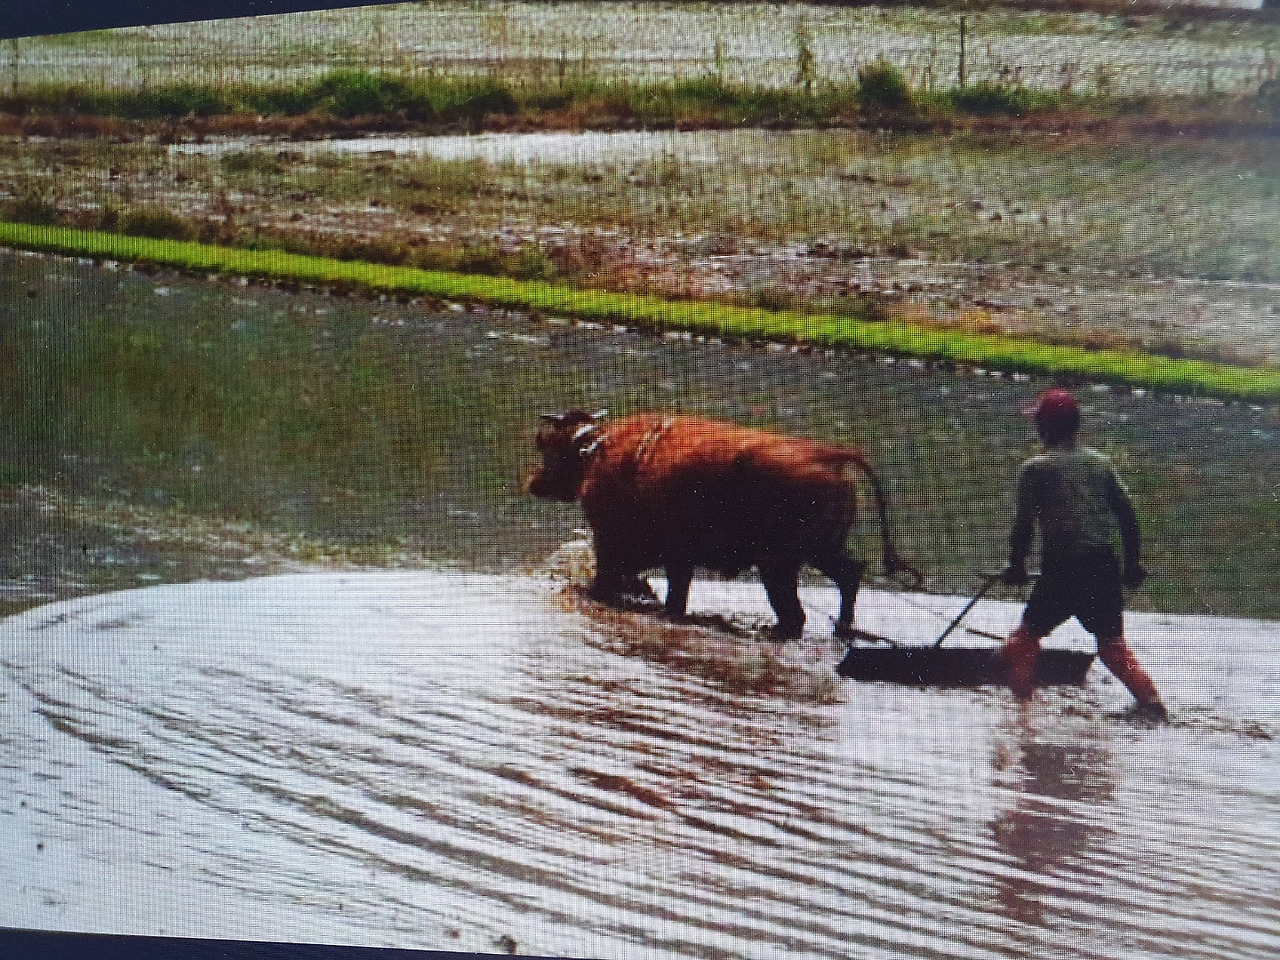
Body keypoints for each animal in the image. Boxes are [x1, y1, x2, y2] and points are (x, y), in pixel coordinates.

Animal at [527, 409, 922, 639]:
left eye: (546, 446)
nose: (533, 481)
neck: (597, 450)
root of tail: (830, 455)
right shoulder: (677, 560)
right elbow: (673, 598)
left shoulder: (618, 547)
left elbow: (611, 580)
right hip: (820, 552)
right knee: (849, 575)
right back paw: (840, 628)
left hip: (779, 564)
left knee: (794, 612)